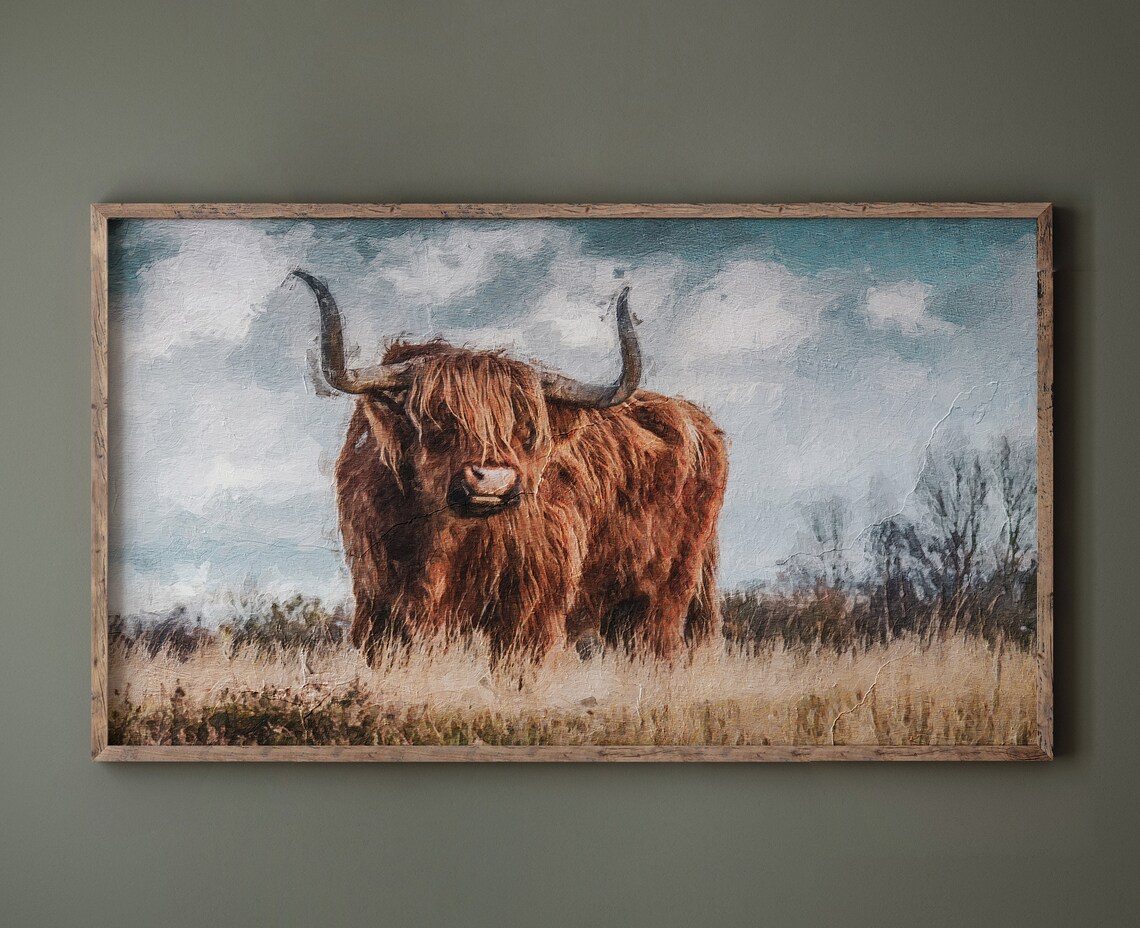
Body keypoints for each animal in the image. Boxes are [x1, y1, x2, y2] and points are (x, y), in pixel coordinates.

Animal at [290, 270, 729, 663]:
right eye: (437, 418)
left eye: (527, 428)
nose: (492, 481)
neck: (442, 541)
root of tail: (697, 420)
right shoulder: (377, 602)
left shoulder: (531, 606)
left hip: (668, 592)